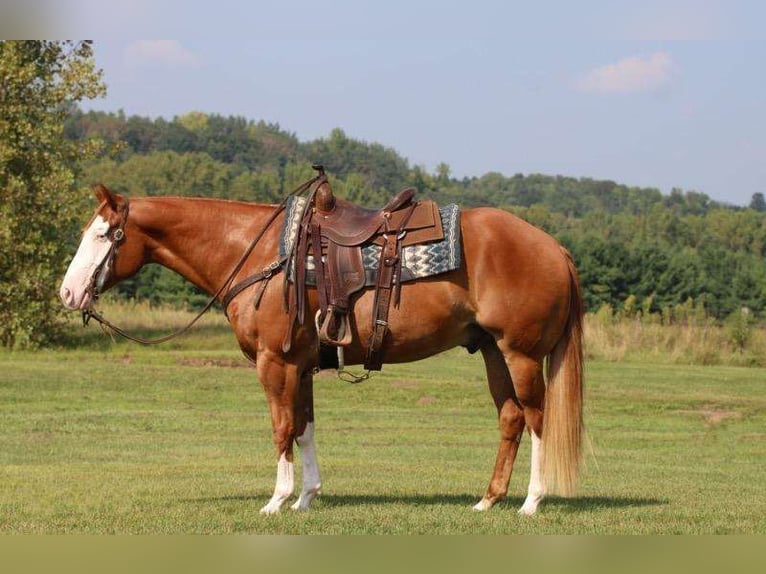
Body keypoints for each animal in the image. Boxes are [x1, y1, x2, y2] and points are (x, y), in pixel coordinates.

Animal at [60, 182, 584, 516]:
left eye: (104, 234)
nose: (67, 293)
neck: (259, 254)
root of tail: (554, 247)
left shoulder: (275, 362)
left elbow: (281, 428)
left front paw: (276, 500)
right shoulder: (303, 365)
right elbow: (305, 429)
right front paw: (306, 497)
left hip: (520, 354)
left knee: (537, 419)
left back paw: (532, 502)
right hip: (492, 351)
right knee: (511, 418)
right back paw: (488, 499)